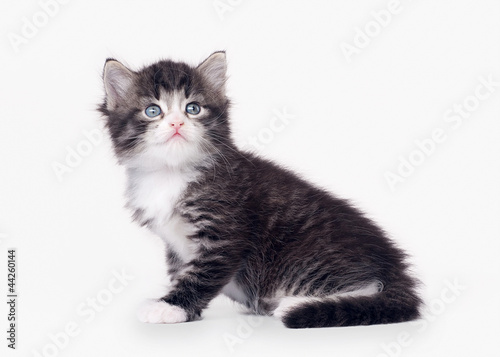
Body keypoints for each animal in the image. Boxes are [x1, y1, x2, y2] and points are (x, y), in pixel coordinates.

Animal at [98, 51, 422, 326]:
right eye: (153, 111)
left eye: (193, 108)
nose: (177, 123)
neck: (171, 172)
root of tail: (396, 268)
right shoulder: (177, 246)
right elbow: (183, 272)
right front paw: (186, 311)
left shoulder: (226, 233)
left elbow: (201, 275)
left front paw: (169, 306)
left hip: (308, 259)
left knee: (369, 286)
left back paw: (297, 304)